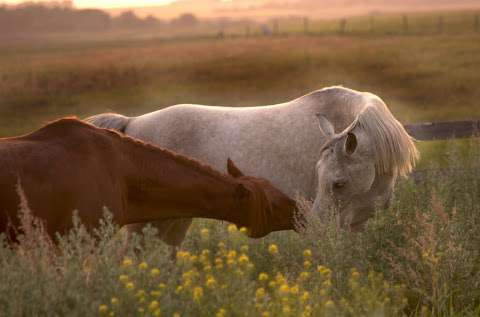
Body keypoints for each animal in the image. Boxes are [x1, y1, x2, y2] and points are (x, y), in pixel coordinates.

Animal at [88, 86, 418, 244]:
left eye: (338, 183)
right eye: (327, 180)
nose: (313, 225)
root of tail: (131, 123)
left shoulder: (357, 222)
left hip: (173, 219)